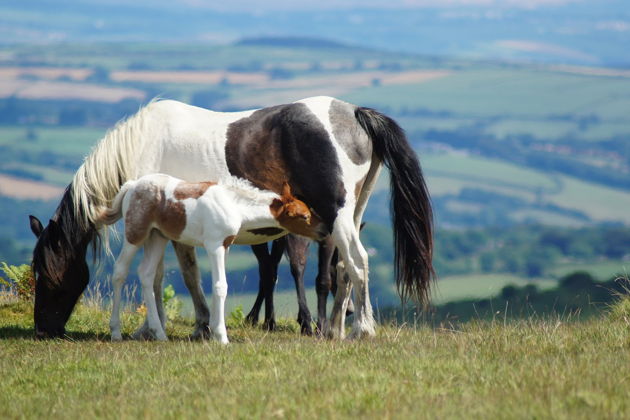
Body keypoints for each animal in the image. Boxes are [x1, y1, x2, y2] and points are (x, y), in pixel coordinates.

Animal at [103, 174, 326, 342]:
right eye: (304, 216)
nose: (325, 230)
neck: (234, 205)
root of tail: (132, 185)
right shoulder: (215, 246)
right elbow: (221, 286)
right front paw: (222, 337)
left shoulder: (225, 246)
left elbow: (217, 286)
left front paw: (213, 332)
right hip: (135, 235)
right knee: (120, 272)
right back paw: (116, 332)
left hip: (158, 237)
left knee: (147, 275)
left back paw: (160, 334)